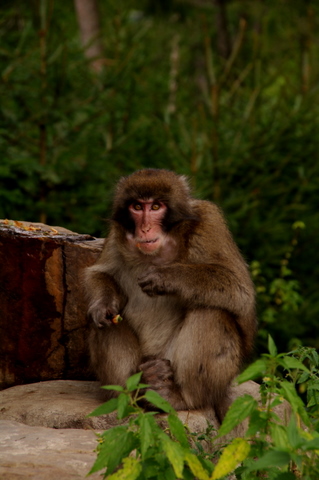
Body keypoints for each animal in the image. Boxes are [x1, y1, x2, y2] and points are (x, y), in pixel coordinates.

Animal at [85, 168, 258, 420]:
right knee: (105, 323)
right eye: (137, 206)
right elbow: (100, 274)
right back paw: (133, 394)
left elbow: (240, 290)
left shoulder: (209, 221)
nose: (145, 228)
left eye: (156, 207)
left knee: (211, 311)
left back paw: (182, 397)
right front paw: (103, 304)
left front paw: (166, 277)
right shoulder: (117, 233)